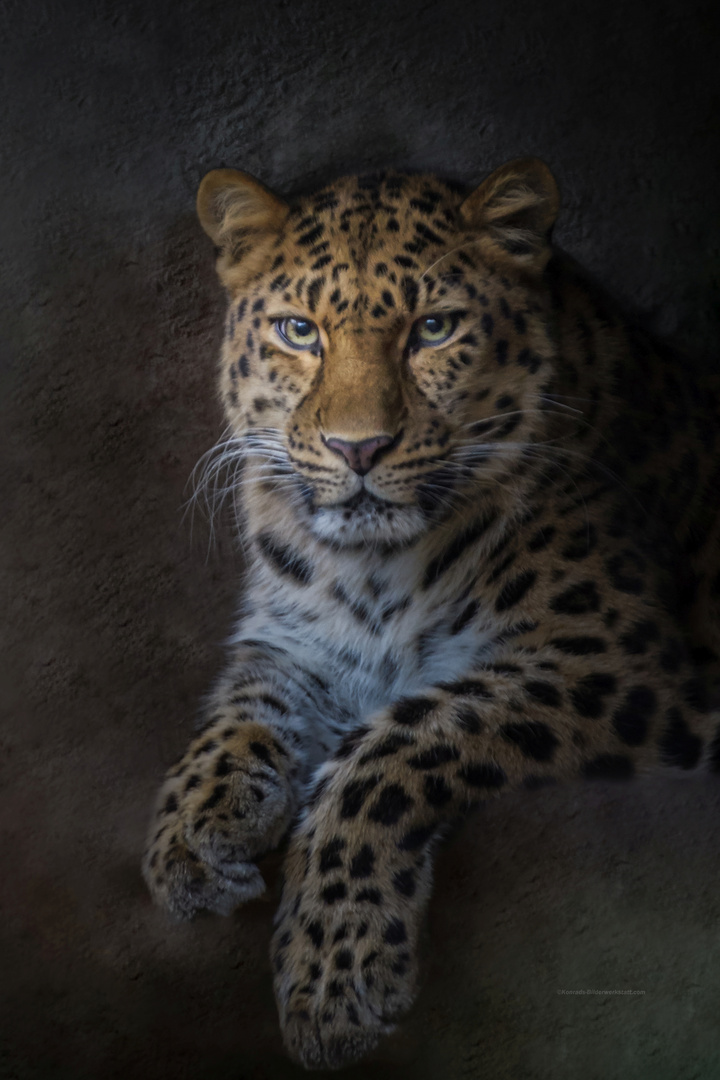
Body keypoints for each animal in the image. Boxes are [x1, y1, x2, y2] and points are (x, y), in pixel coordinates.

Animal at [140, 159, 720, 1071]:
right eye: (300, 332)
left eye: (435, 329)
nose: (357, 448)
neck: (372, 570)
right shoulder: (294, 642)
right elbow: (239, 712)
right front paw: (194, 833)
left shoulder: (616, 664)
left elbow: (388, 746)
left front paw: (333, 974)